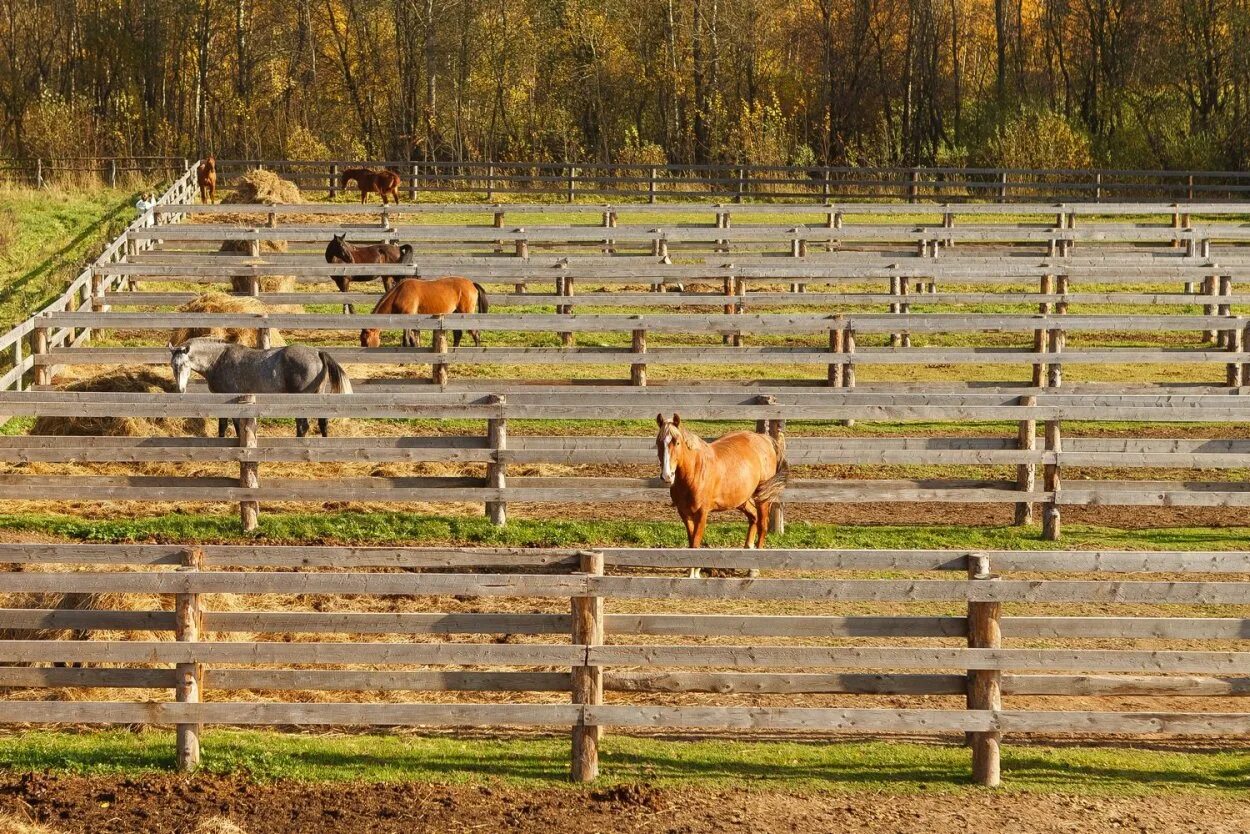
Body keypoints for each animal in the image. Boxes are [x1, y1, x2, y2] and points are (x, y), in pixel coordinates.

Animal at [168, 337, 355, 440]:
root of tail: (317, 352)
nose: (180, 389)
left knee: (303, 425)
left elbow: (233, 426)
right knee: (322, 422)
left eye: (184, 364)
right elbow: (224, 425)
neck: (218, 360)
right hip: (319, 395)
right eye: (172, 365)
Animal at [360, 277, 490, 350]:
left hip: (466, 313)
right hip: (456, 314)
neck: (400, 293)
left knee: (475, 333)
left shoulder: (408, 317)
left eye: (365, 339)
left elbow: (406, 338)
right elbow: (414, 338)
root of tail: (472, 283)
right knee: (458, 334)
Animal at [660, 415, 785, 577]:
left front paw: (694, 574)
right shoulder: (684, 513)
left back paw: (754, 568)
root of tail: (764, 439)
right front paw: (693, 572)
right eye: (658, 442)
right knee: (754, 517)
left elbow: (696, 541)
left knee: (762, 525)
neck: (694, 472)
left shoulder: (702, 513)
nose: (667, 476)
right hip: (741, 499)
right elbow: (691, 540)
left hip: (762, 497)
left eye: (677, 442)